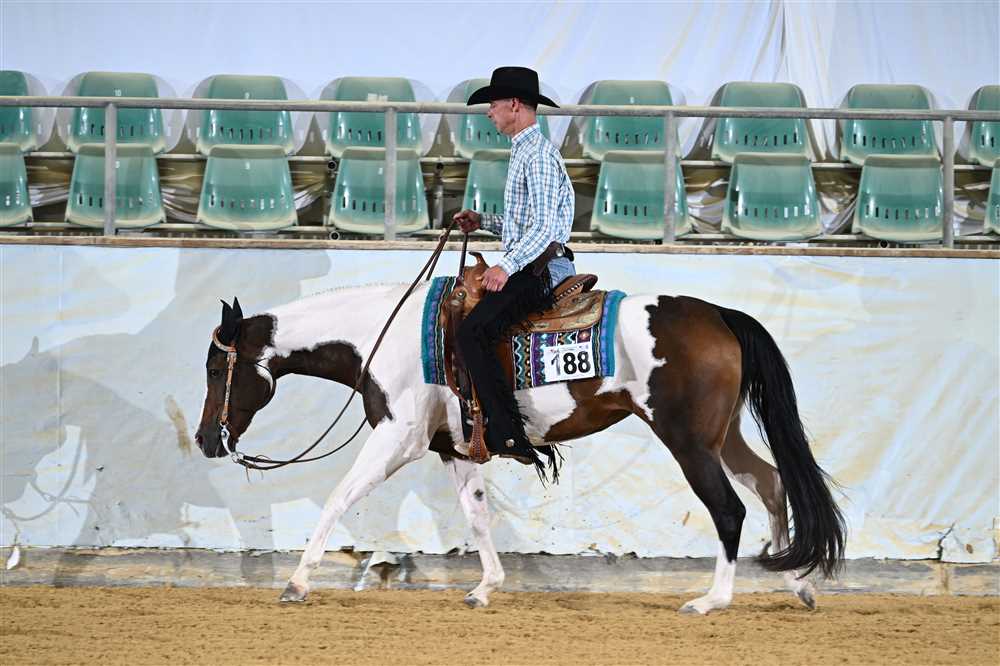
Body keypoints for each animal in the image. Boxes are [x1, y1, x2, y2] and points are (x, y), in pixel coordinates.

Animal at [195, 278, 846, 615]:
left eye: (215, 369)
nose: (205, 440)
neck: (385, 336)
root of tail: (718, 313)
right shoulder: (454, 449)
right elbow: (477, 517)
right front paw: (486, 586)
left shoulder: (398, 439)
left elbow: (338, 498)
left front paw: (296, 583)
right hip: (723, 435)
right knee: (771, 484)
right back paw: (798, 584)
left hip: (688, 441)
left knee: (729, 509)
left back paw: (712, 600)